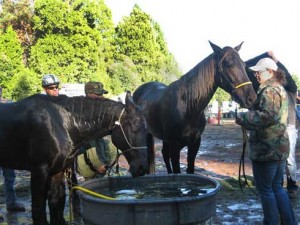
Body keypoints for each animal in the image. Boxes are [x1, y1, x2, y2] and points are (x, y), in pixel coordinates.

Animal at [0, 92, 149, 225]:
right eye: (134, 127)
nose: (142, 168)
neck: (62, 123)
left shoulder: (57, 171)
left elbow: (55, 203)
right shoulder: (39, 171)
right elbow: (38, 209)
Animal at [132, 40, 256, 174]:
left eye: (244, 65)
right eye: (228, 64)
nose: (252, 98)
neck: (187, 107)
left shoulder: (195, 143)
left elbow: (190, 169)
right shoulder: (175, 145)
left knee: (164, 154)